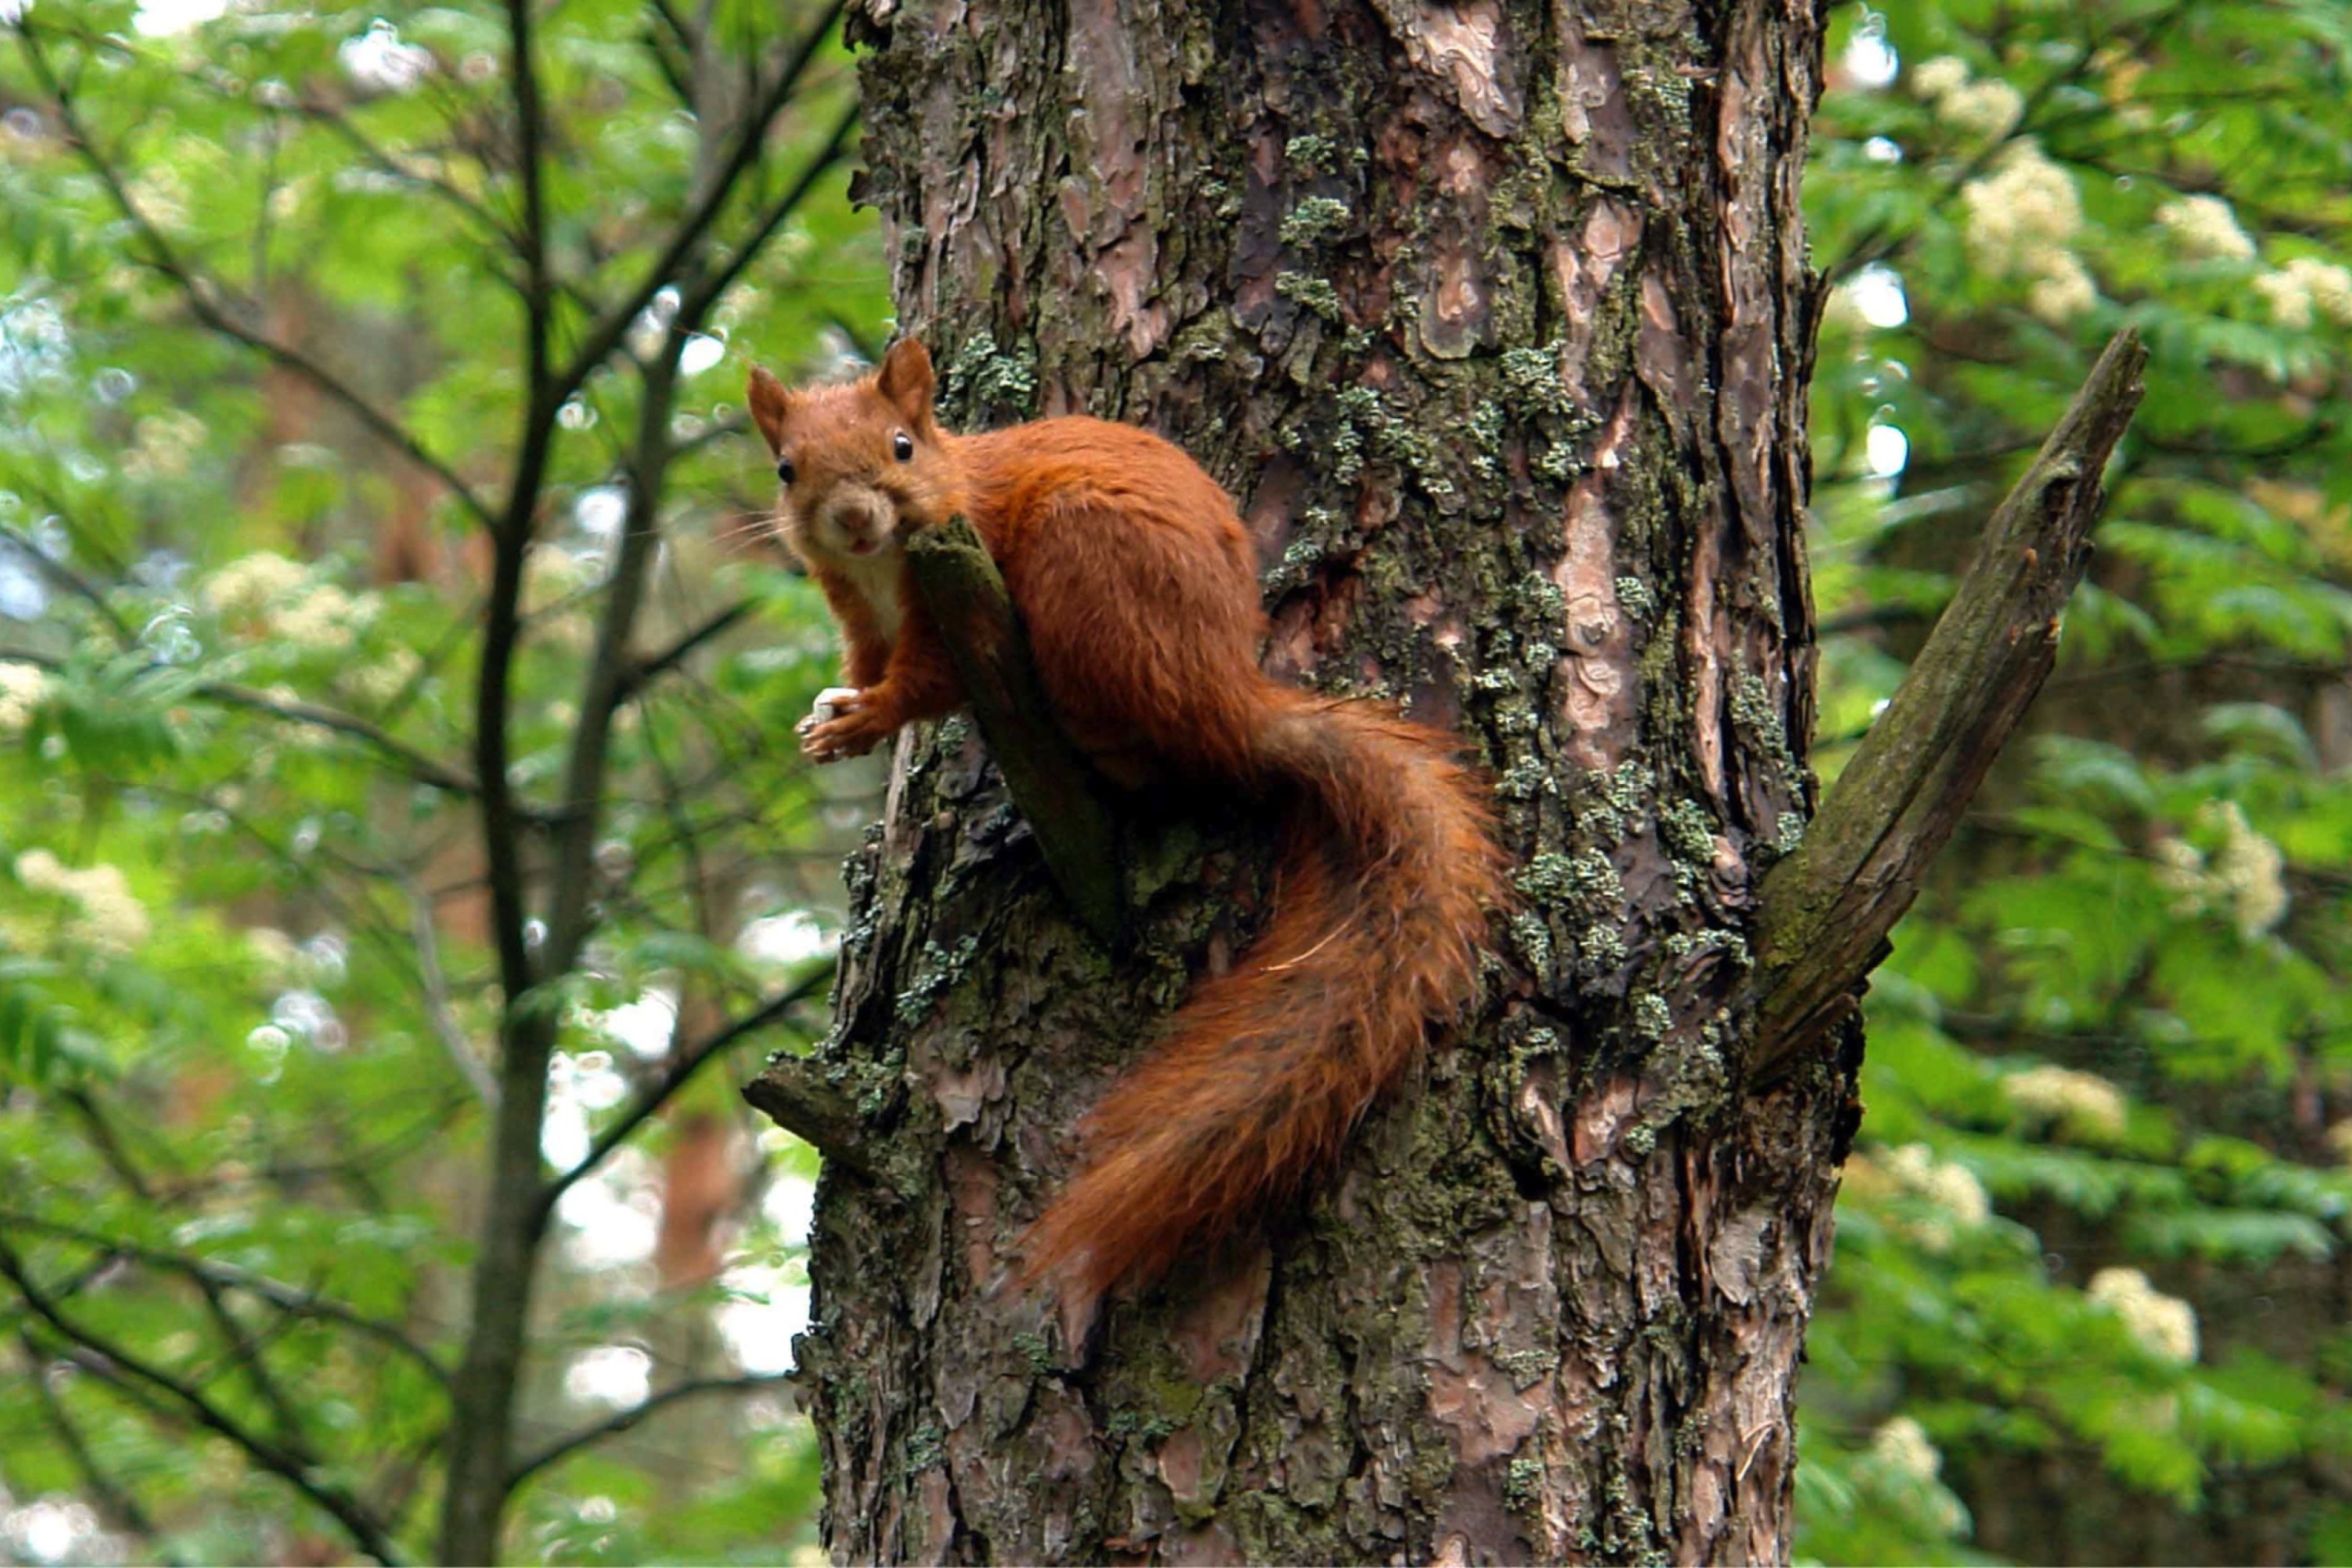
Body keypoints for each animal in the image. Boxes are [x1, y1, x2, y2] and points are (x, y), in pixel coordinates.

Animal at [747, 343, 1505, 1316]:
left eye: (903, 445)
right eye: (785, 468)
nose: (852, 518)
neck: (885, 567)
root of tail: (1233, 704)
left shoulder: (953, 599)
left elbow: (922, 684)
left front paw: (862, 720)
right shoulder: (856, 611)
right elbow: (866, 666)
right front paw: (831, 722)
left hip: (1087, 570)